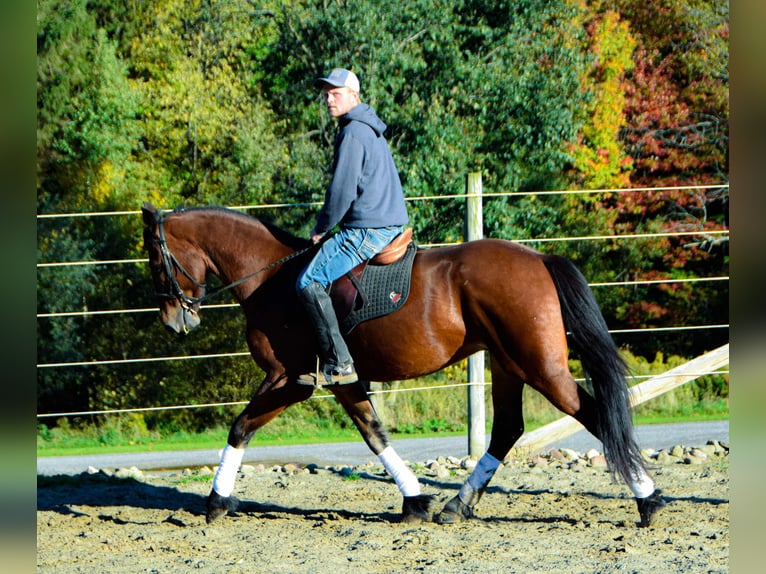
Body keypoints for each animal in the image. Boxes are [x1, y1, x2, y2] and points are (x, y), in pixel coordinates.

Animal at [142, 205, 664, 528]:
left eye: (154, 258)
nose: (173, 321)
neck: (273, 278)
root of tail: (537, 256)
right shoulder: (343, 381)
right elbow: (374, 434)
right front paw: (415, 501)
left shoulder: (290, 379)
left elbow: (240, 426)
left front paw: (216, 500)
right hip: (508, 364)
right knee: (507, 429)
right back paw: (458, 503)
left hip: (541, 368)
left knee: (592, 415)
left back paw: (649, 500)